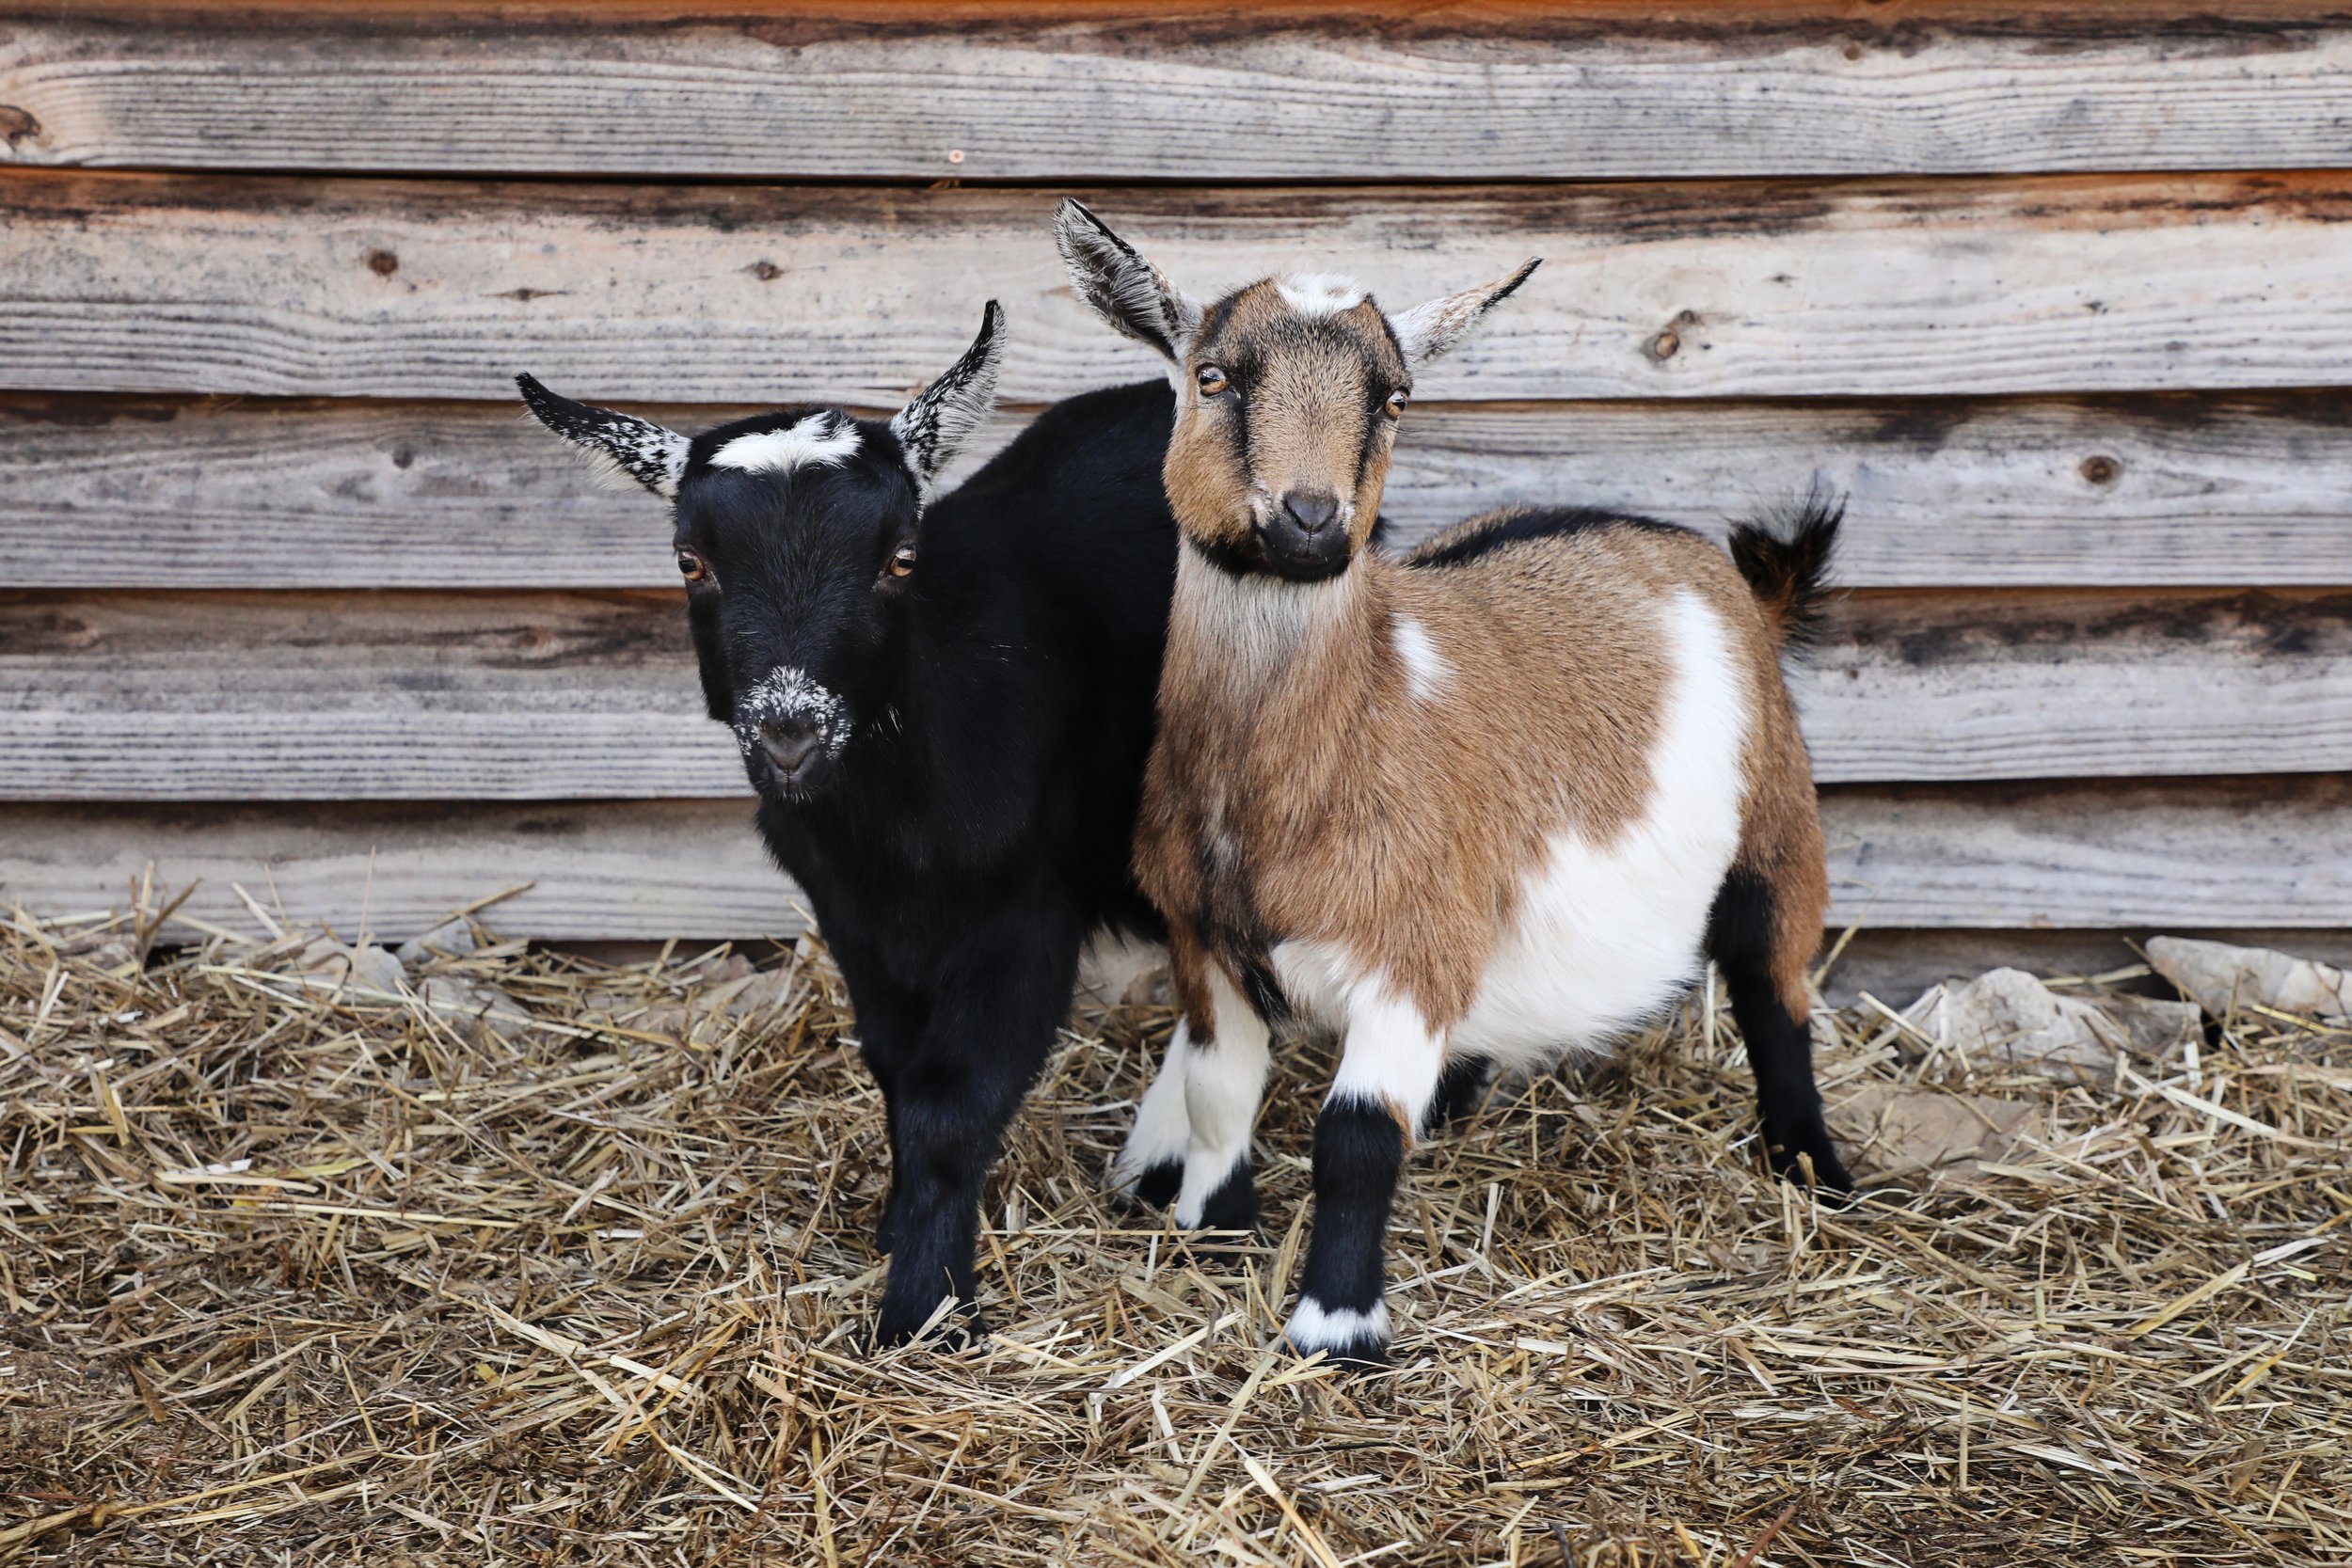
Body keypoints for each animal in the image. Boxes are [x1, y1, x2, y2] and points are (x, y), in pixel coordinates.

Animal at [518, 304, 1180, 1344]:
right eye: (691, 561)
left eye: (899, 558)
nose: (791, 730)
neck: (892, 830)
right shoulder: (852, 916)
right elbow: (895, 1071)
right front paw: (896, 1228)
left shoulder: (1026, 912)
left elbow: (952, 1100)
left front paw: (925, 1307)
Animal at [1055, 203, 1854, 1365]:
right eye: (1213, 376)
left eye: (1393, 398)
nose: (1309, 517)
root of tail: (1733, 575)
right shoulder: (1204, 943)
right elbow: (1216, 1090)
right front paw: (1213, 1226)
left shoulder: (1409, 946)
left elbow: (1353, 1137)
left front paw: (1333, 1328)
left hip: (1777, 817)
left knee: (1772, 980)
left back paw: (1812, 1169)